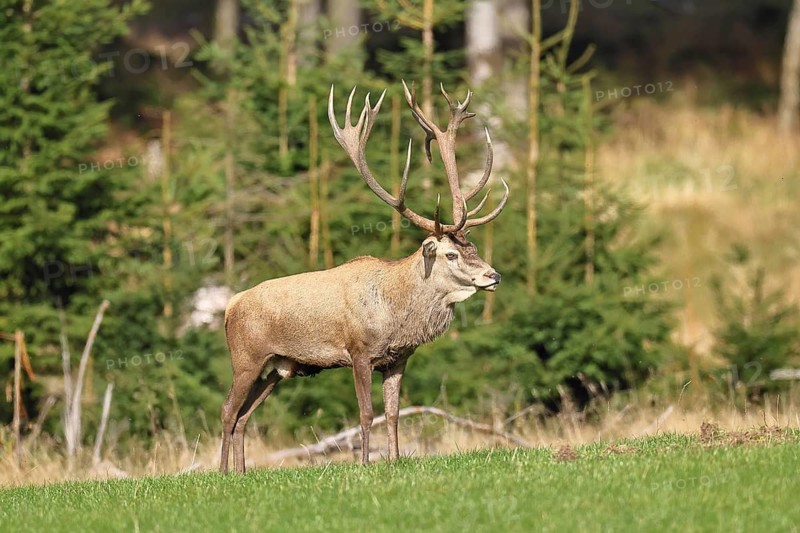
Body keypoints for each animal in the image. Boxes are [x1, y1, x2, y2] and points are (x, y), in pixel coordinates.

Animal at [219, 80, 509, 473]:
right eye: (450, 254)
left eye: (474, 247)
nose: (494, 275)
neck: (396, 311)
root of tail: (230, 306)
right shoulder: (358, 351)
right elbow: (366, 413)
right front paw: (365, 463)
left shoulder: (398, 358)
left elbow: (394, 413)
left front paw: (395, 459)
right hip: (246, 358)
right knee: (227, 411)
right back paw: (221, 472)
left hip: (276, 368)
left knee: (245, 416)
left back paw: (242, 471)